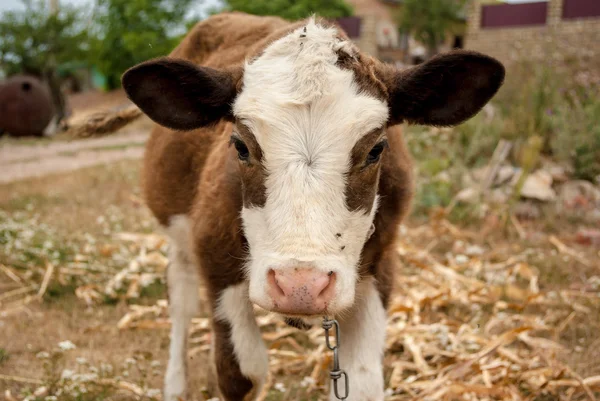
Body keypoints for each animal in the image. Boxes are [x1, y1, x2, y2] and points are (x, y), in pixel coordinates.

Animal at [101, 11, 504, 400]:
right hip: (178, 233)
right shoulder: (213, 251)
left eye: (376, 150)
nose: (301, 285)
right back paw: (174, 383)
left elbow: (362, 382)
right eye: (240, 146)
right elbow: (242, 373)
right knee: (181, 301)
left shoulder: (382, 264)